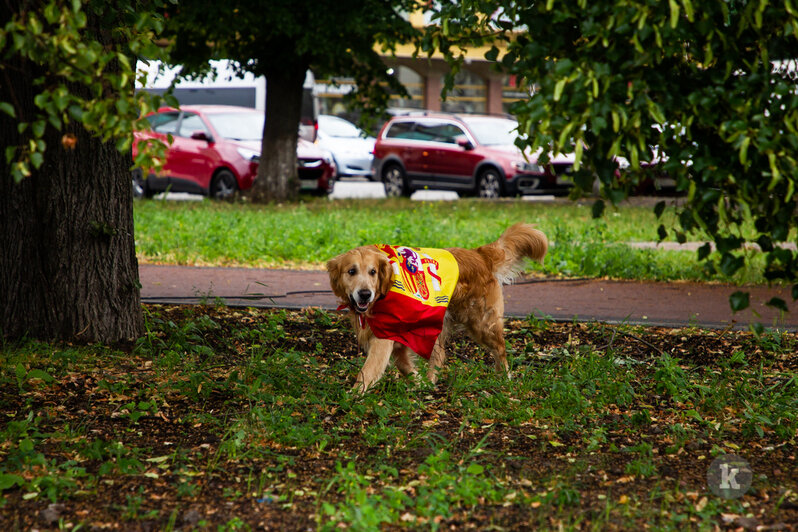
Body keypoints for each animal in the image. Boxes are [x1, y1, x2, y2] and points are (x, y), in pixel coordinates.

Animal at [326, 222, 552, 392]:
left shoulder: (385, 338)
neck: (384, 291)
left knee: (500, 349)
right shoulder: (400, 339)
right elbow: (404, 365)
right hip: (435, 324)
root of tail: (479, 254)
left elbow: (368, 370)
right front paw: (418, 383)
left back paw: (504, 378)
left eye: (373, 272)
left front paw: (353, 395)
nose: (365, 294)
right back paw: (429, 384)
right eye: (351, 271)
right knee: (440, 355)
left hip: (481, 324)